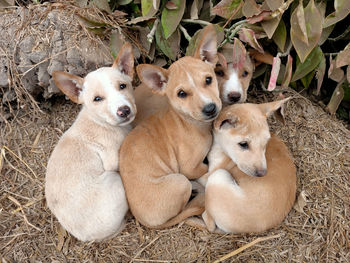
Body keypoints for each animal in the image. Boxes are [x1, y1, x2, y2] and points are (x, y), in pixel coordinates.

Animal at [45, 43, 135, 243]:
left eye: (123, 86)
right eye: (97, 99)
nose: (124, 111)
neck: (100, 121)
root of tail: (87, 237)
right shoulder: (113, 161)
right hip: (114, 179)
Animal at [119, 25, 221, 230]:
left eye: (208, 80)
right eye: (181, 94)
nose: (210, 108)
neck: (189, 122)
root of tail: (145, 222)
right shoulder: (190, 167)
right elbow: (205, 168)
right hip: (181, 181)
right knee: (184, 209)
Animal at [198, 100, 296, 234]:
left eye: (265, 143)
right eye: (243, 144)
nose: (262, 174)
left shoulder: (208, 175)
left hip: (218, 176)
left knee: (208, 220)